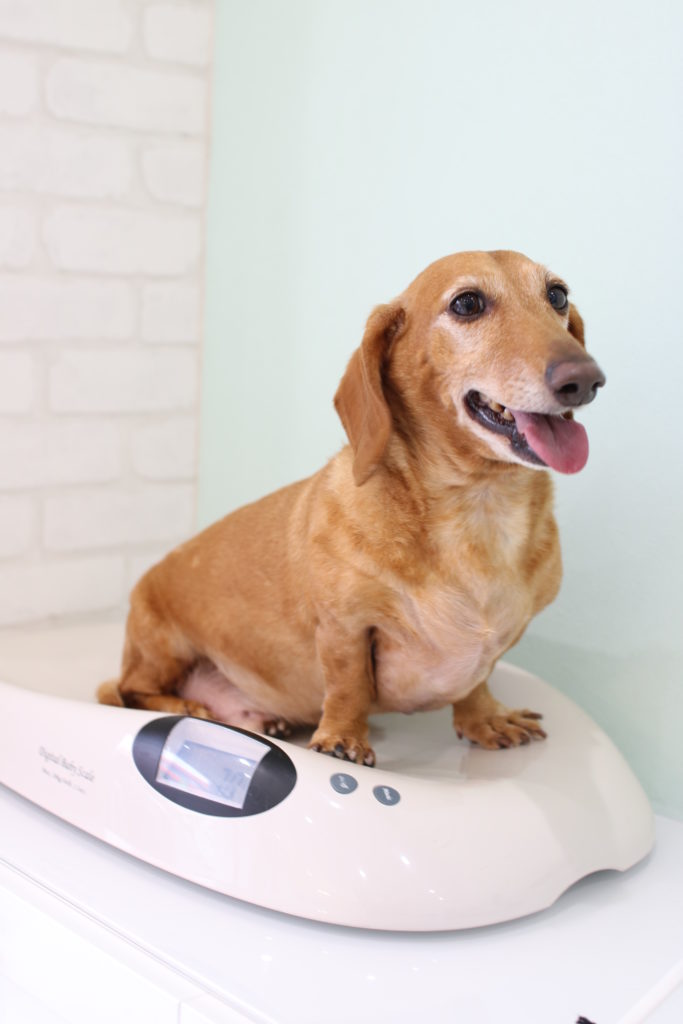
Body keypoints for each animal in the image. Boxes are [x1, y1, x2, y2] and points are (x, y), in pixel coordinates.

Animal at [100, 251, 602, 765]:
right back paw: (188, 705)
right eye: (467, 303)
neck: (480, 509)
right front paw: (342, 739)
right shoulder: (344, 627)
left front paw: (484, 718)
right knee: (128, 692)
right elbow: (348, 686)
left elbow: (478, 681)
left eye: (557, 295)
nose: (586, 379)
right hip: (161, 650)